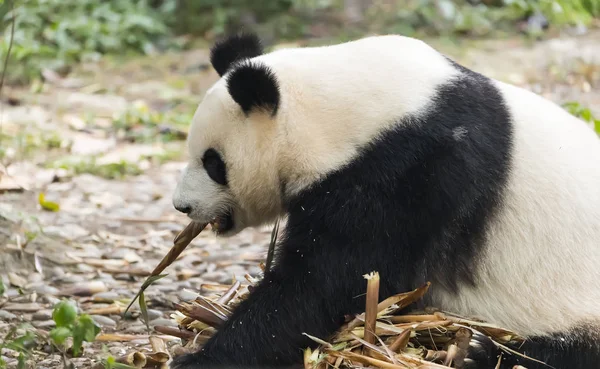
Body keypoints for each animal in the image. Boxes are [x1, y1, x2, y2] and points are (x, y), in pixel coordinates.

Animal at [171, 33, 600, 366]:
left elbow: (330, 280)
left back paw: (483, 354)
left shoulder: (410, 169)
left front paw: (204, 358)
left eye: (213, 162)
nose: (182, 205)